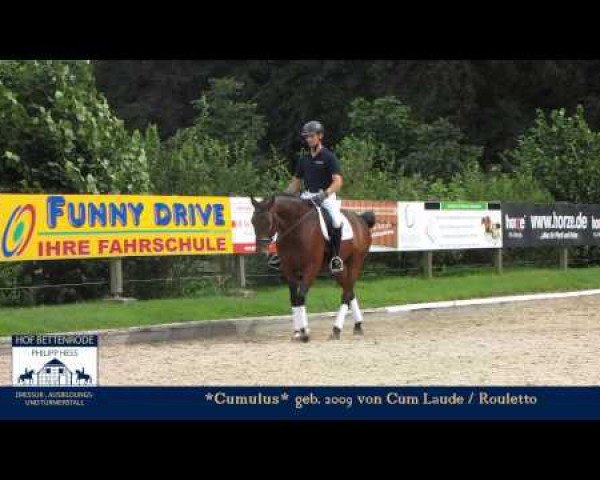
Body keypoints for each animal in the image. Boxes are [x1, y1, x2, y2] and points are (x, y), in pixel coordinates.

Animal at [250, 191, 376, 342]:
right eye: (252, 221)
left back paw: (336, 330)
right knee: (350, 291)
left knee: (347, 294)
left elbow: (301, 296)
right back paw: (357, 325)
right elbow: (294, 298)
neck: (296, 227)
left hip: (355, 262)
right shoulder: (289, 270)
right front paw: (297, 332)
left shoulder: (311, 268)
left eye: (268, 222)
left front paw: (304, 332)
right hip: (339, 268)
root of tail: (361, 219)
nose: (261, 253)